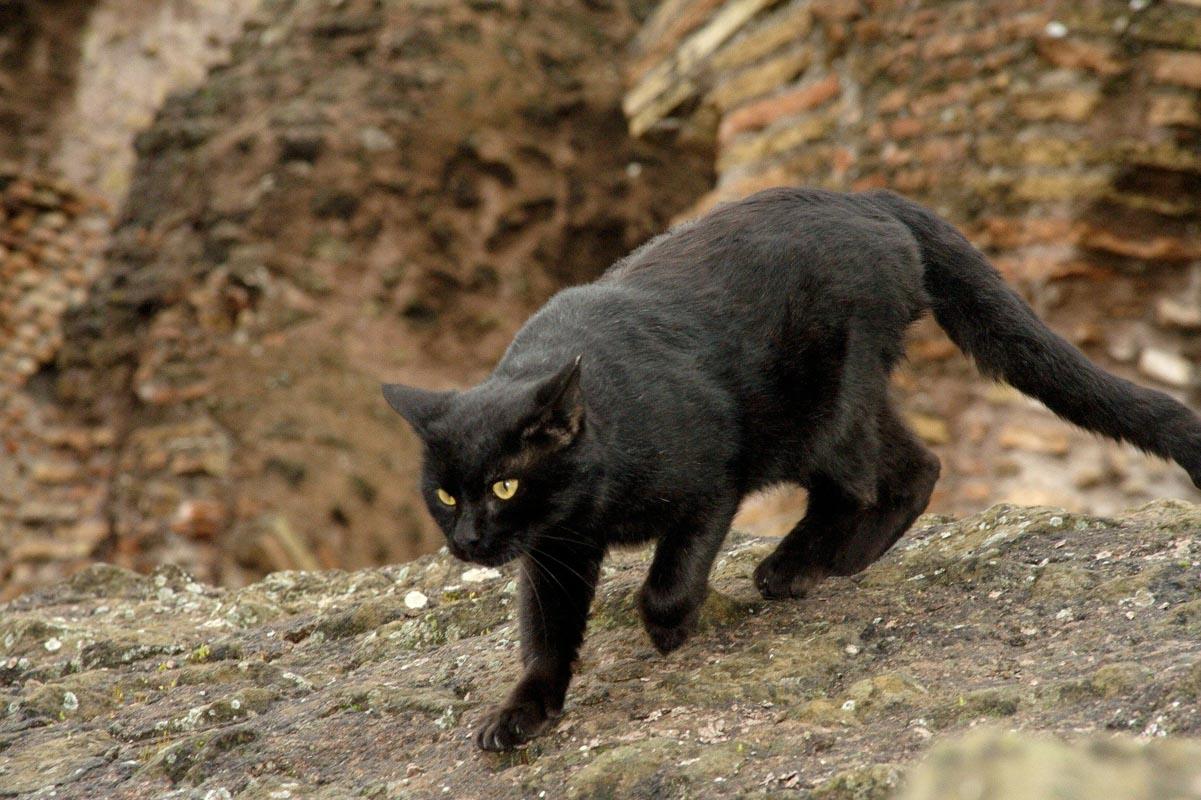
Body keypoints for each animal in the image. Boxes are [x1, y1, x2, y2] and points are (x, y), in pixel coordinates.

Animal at [381, 187, 1201, 749]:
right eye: (446, 494)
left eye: (505, 485)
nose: (469, 540)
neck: (593, 495)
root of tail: (864, 196)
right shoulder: (554, 551)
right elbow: (545, 634)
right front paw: (523, 713)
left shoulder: (711, 476)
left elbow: (670, 575)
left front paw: (670, 628)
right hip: (848, 401)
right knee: (917, 466)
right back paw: (830, 561)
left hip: (820, 413)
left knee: (865, 483)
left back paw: (796, 567)